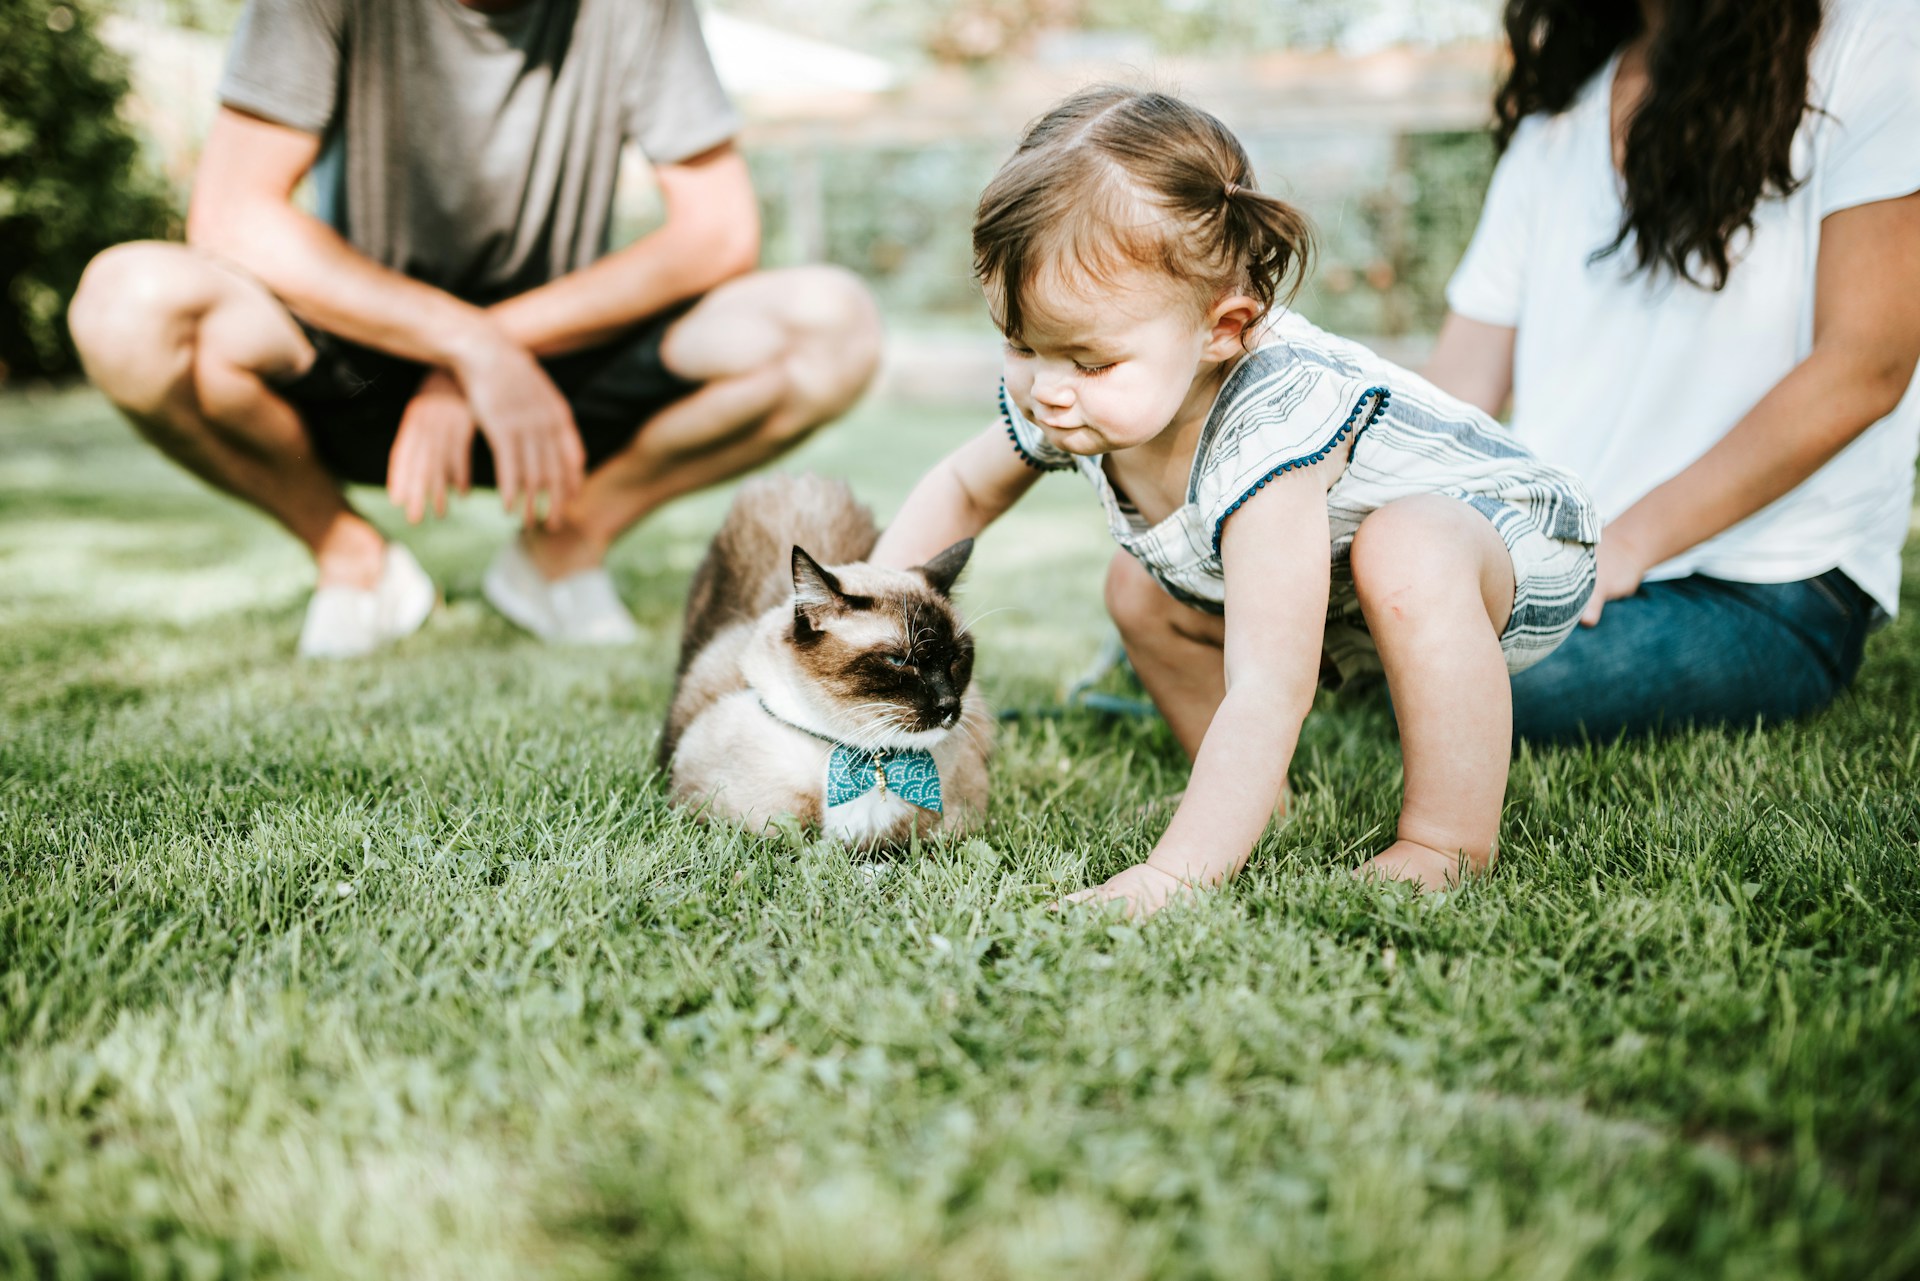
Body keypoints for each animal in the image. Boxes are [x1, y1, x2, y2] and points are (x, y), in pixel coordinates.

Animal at [660, 476, 990, 845]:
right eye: (898, 660)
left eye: (957, 657)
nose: (949, 704)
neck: (870, 763)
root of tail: (796, 480)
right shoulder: (732, 824)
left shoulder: (957, 829)